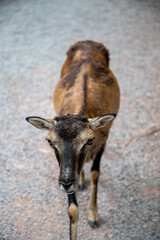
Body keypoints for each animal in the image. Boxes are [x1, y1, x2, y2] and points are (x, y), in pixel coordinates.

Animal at [26, 40, 120, 239]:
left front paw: (94, 217)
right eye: (50, 142)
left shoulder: (103, 140)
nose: (66, 182)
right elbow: (73, 210)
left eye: (90, 140)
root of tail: (88, 42)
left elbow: (95, 173)